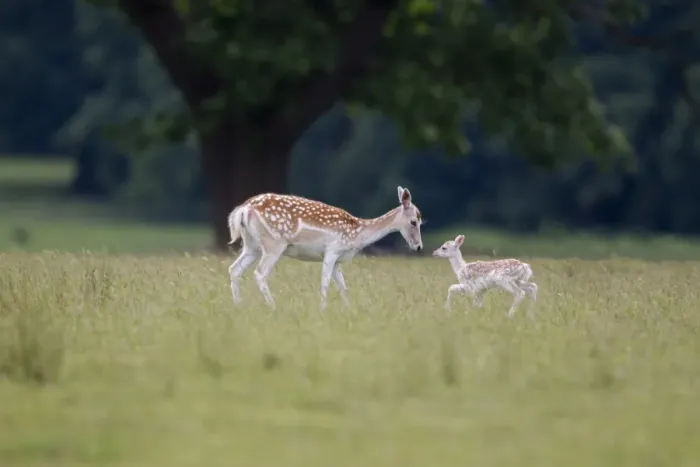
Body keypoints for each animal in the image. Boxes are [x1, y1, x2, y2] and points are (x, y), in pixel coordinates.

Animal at [226, 186, 423, 309]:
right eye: (414, 221)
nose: (419, 247)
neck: (357, 234)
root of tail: (243, 209)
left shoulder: (337, 260)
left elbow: (342, 286)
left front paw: (349, 310)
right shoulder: (332, 250)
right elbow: (325, 282)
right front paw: (322, 310)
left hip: (252, 246)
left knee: (234, 269)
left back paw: (238, 306)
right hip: (273, 243)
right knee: (259, 274)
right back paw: (273, 307)